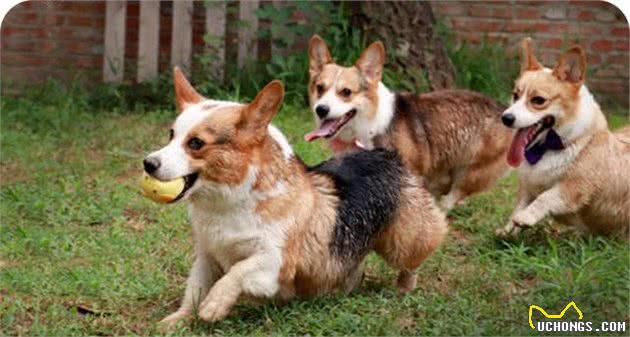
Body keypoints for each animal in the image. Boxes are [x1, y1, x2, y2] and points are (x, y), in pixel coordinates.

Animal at [308, 35, 520, 209]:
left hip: (472, 174)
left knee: (451, 197)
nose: (321, 110)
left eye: (346, 92)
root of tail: (504, 110)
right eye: (320, 88)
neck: (369, 127)